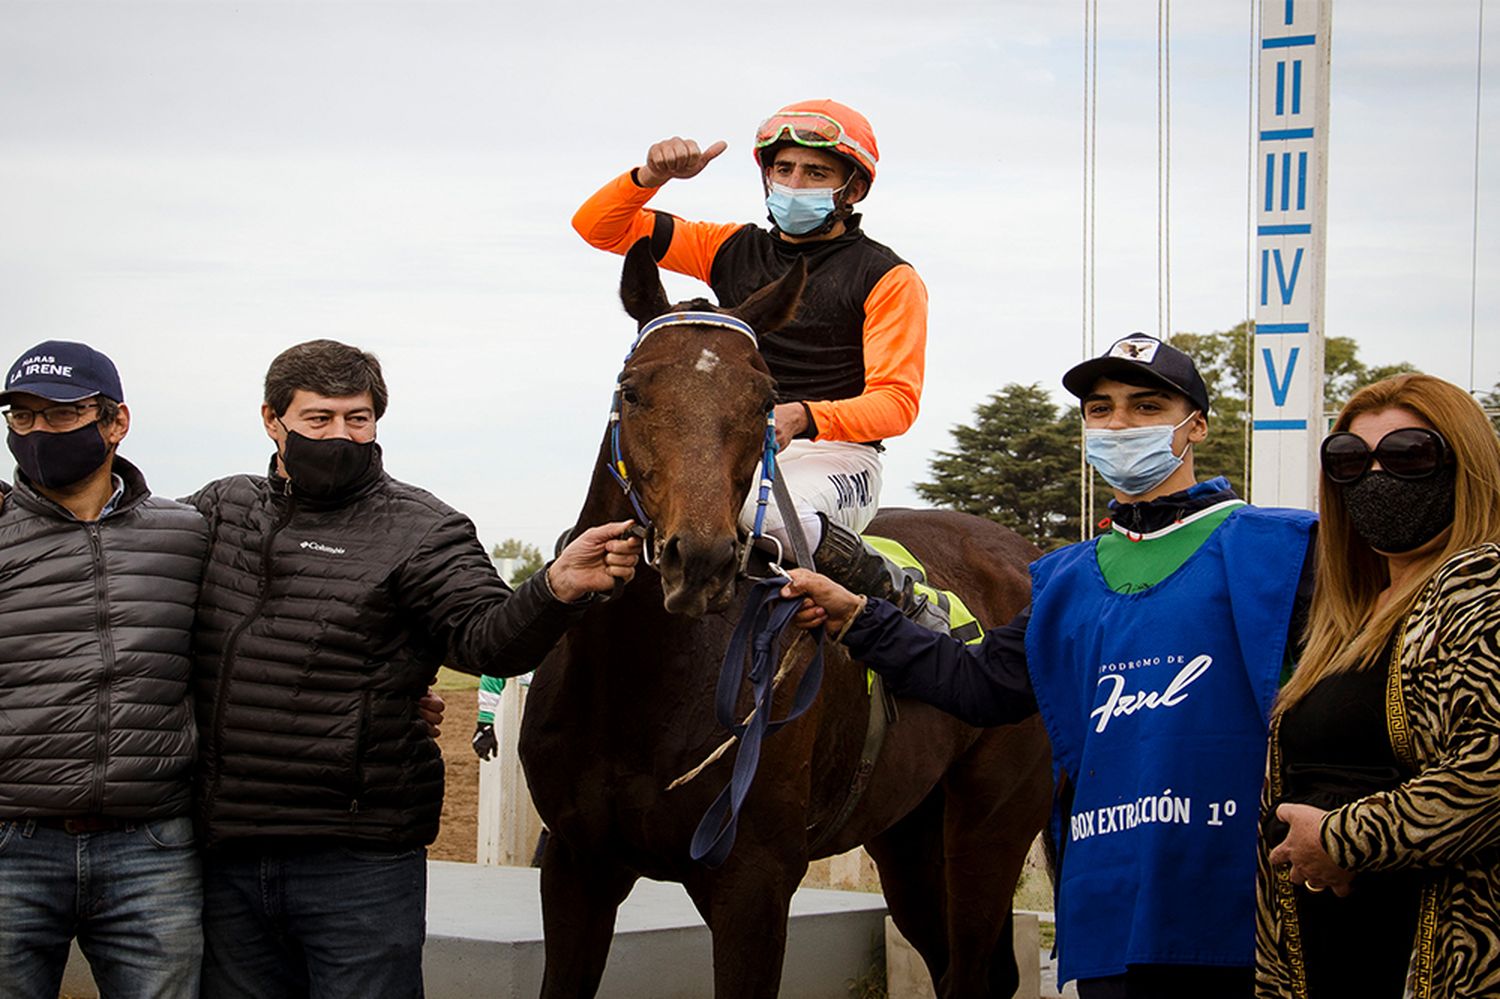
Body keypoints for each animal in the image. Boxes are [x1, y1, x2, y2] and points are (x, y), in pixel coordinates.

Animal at [522, 243, 1050, 996]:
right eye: (632, 389)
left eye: (766, 401)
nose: (700, 560)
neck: (641, 682)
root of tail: (1032, 556)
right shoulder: (577, 866)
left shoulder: (753, 882)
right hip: (911, 834)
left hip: (990, 822)